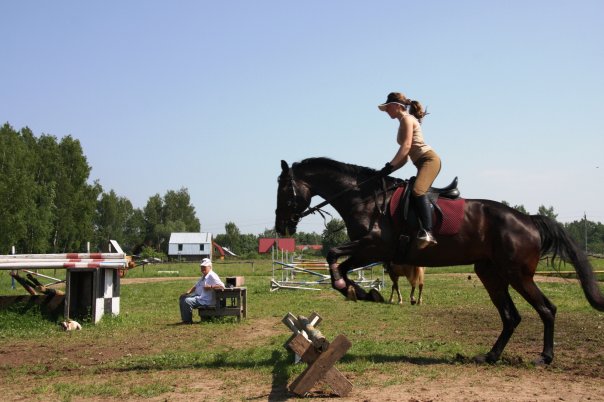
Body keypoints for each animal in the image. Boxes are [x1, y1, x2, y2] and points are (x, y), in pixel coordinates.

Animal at [274, 157, 604, 364]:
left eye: (284, 189)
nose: (281, 227)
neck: (364, 199)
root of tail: (530, 220)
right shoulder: (371, 251)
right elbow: (339, 263)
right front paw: (361, 291)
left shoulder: (374, 247)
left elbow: (333, 256)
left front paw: (356, 290)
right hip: (490, 273)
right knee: (511, 316)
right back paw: (490, 356)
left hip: (517, 274)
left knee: (546, 309)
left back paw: (545, 357)